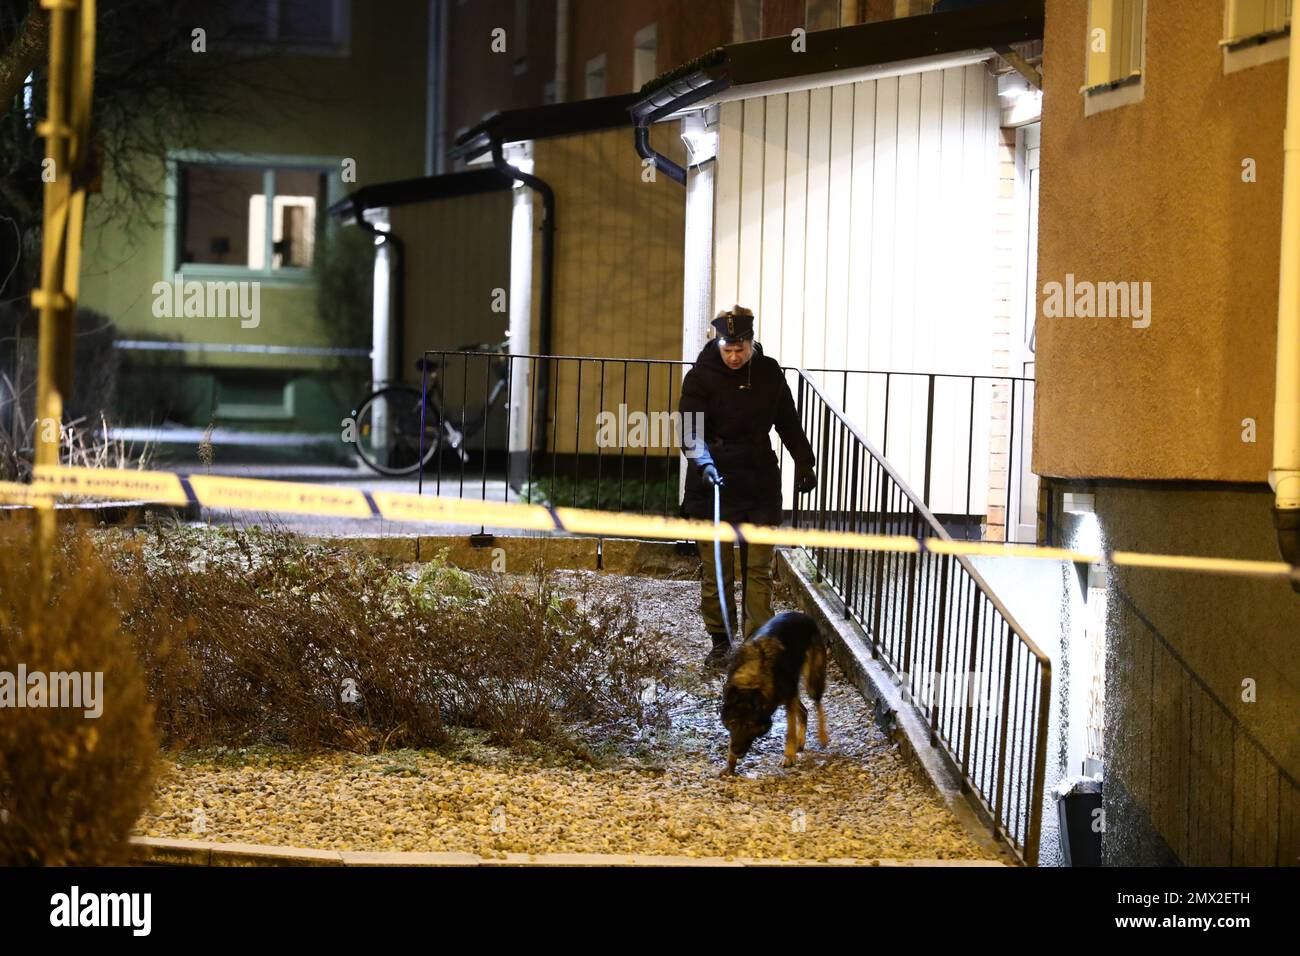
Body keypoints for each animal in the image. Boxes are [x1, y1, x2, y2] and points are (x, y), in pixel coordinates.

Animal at [717, 613, 826, 780]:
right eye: (733, 723)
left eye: (749, 725)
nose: (736, 751)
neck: (752, 680)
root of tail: (802, 615)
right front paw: (730, 765)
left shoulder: (789, 699)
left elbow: (790, 731)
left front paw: (788, 756)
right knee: (804, 711)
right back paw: (800, 743)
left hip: (812, 682)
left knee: (817, 704)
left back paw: (822, 736)